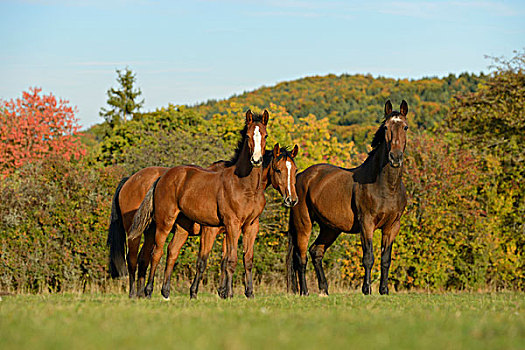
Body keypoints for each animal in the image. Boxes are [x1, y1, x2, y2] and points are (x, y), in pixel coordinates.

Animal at [128, 109, 286, 298]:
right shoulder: (231, 225)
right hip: (164, 222)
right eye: (248, 135)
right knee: (156, 253)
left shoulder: (251, 226)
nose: (256, 160)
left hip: (181, 227)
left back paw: (165, 294)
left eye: (265, 135)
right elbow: (230, 260)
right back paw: (148, 291)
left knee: (171, 252)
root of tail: (162, 177)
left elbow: (247, 259)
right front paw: (227, 295)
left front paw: (249, 294)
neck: (245, 186)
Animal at [286, 100, 410, 296]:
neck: (386, 187)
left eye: (405, 127)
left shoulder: (392, 226)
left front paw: (384, 290)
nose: (395, 157)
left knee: (316, 251)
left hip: (330, 228)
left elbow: (385, 259)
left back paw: (324, 289)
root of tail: (299, 176)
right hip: (303, 224)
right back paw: (304, 291)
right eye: (385, 127)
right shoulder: (366, 224)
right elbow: (368, 257)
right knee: (301, 257)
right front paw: (366, 289)